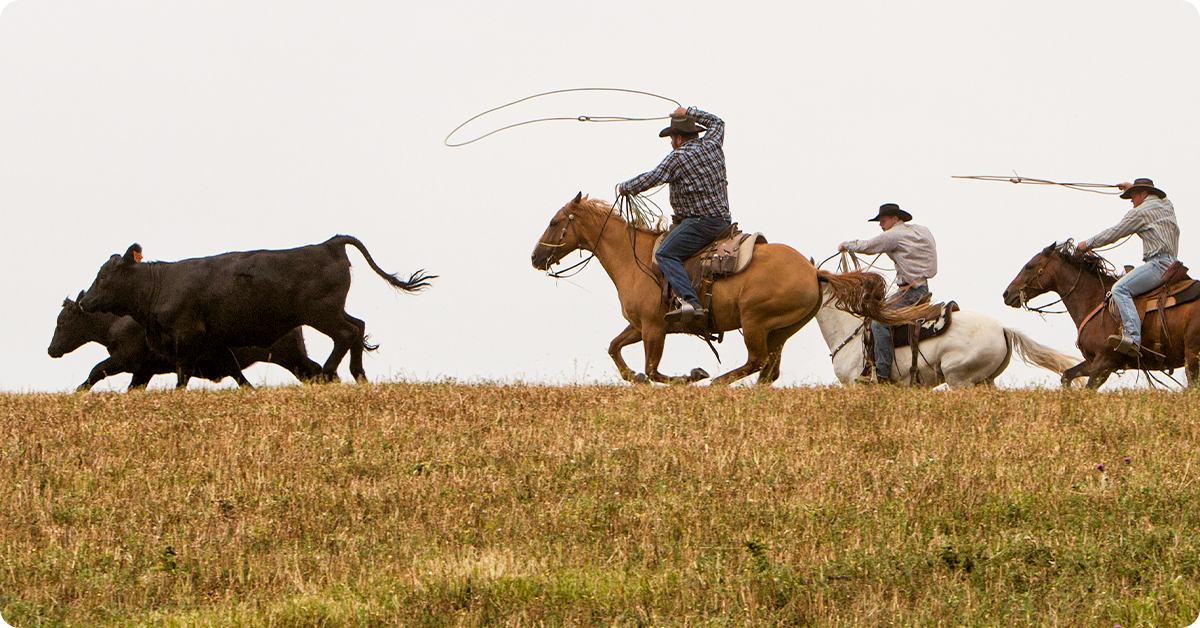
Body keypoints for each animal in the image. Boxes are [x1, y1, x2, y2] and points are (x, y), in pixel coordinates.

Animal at [48, 291, 324, 391]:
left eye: (63, 321)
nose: (51, 350)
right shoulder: (144, 370)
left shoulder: (124, 359)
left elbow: (96, 371)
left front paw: (78, 391)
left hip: (287, 355)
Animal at [77, 234, 432, 386]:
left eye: (104, 276)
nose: (84, 302)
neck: (160, 284)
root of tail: (328, 243)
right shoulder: (213, 341)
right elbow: (231, 369)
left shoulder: (186, 337)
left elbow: (183, 372)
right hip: (331, 312)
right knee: (358, 326)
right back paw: (358, 375)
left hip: (321, 314)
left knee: (347, 333)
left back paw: (331, 372)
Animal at [532, 194, 926, 386]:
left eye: (554, 221)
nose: (536, 257)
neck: (639, 259)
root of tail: (812, 271)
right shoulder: (639, 326)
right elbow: (615, 348)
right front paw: (634, 377)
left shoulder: (655, 328)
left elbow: (655, 369)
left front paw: (690, 376)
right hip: (780, 330)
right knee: (768, 370)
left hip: (754, 321)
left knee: (756, 362)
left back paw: (717, 383)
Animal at [998, 242, 1200, 386]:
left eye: (1029, 266)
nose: (1007, 293)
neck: (1094, 298)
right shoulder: (1092, 361)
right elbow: (1067, 376)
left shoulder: (1104, 363)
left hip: (1192, 356)